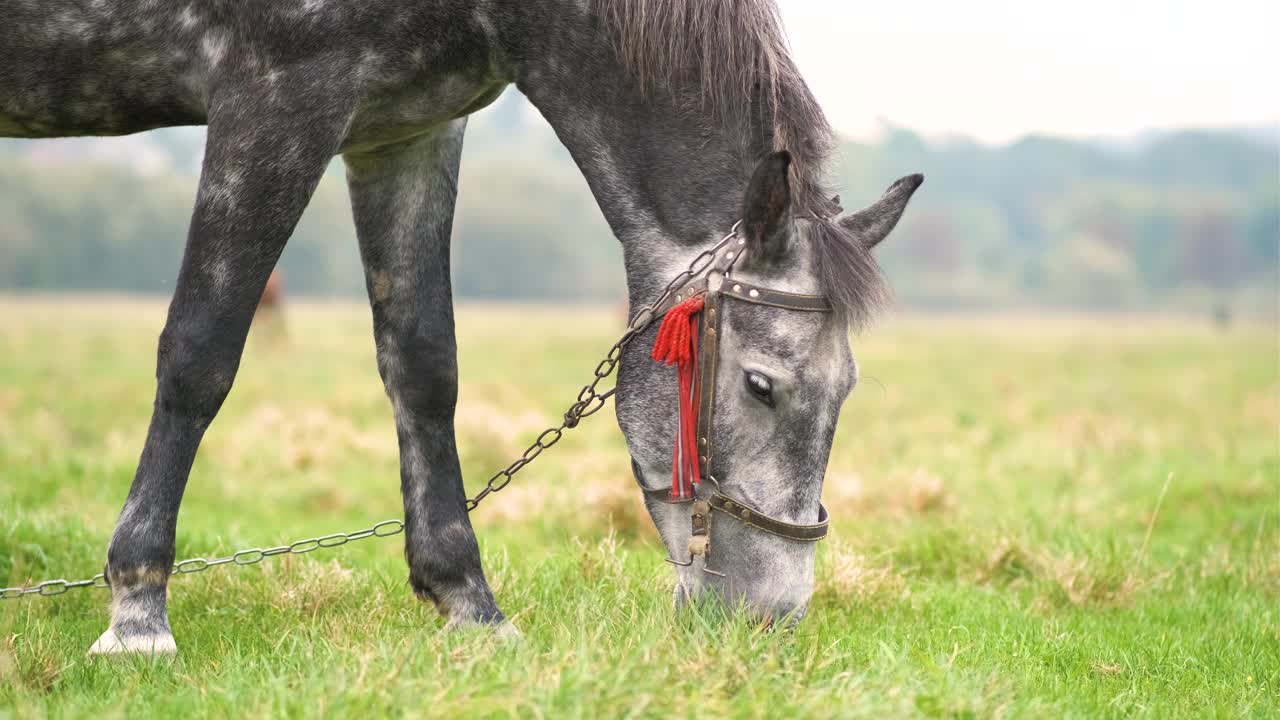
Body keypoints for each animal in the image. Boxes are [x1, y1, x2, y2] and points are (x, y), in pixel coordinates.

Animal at [0, 0, 921, 650]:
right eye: (762, 386)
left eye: (847, 390)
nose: (769, 617)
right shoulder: (274, 99)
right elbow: (200, 354)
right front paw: (137, 609)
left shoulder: (405, 131)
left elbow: (423, 366)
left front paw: (468, 602)